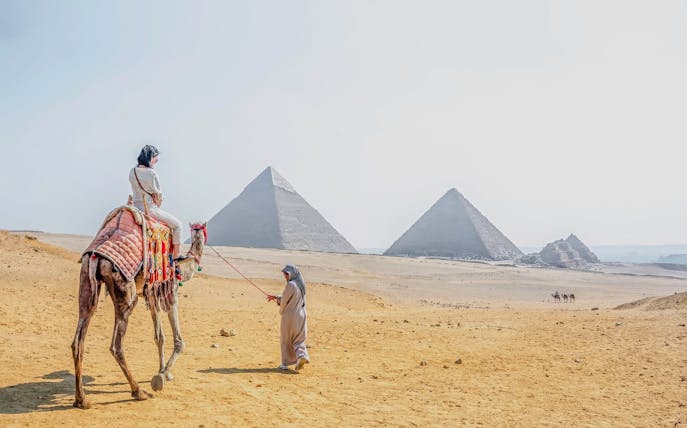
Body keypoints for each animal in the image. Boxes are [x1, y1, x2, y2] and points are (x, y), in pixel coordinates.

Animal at [71, 221, 206, 409]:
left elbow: (159, 337)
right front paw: (161, 376)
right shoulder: (170, 292)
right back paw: (138, 391)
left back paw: (81, 399)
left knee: (78, 341)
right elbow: (179, 341)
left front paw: (163, 372)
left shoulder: (152, 295)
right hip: (125, 292)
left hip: (86, 282)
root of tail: (96, 258)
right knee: (116, 345)